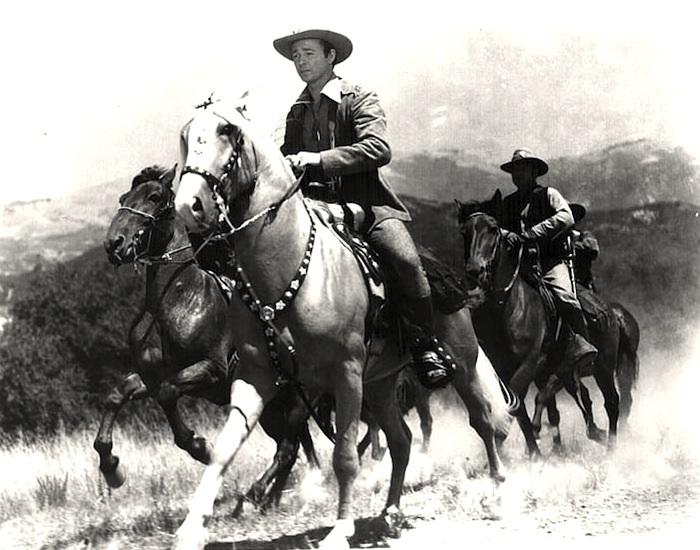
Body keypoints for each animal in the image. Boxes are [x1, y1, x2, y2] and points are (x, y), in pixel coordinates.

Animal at [95, 164, 325, 511]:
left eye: (154, 197)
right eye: (124, 198)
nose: (114, 244)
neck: (175, 300)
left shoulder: (211, 370)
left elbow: (168, 394)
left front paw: (201, 448)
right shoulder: (150, 376)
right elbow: (117, 394)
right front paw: (112, 468)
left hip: (296, 401)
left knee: (288, 449)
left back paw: (254, 496)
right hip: (274, 409)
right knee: (292, 447)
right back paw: (267, 499)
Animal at [173, 96, 514, 549]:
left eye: (228, 131)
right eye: (185, 135)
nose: (188, 206)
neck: (289, 270)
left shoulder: (346, 374)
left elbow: (345, 457)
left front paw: (338, 531)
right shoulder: (256, 375)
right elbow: (224, 450)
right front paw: (191, 529)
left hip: (462, 363)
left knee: (483, 421)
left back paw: (499, 492)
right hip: (382, 382)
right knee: (402, 440)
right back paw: (390, 512)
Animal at [456, 192, 621, 454]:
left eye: (492, 228)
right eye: (465, 231)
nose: (475, 270)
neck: (505, 307)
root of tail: (610, 312)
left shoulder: (530, 362)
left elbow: (518, 403)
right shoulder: (503, 368)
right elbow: (519, 408)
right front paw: (533, 451)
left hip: (603, 366)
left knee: (612, 402)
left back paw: (611, 450)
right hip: (566, 370)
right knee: (582, 397)